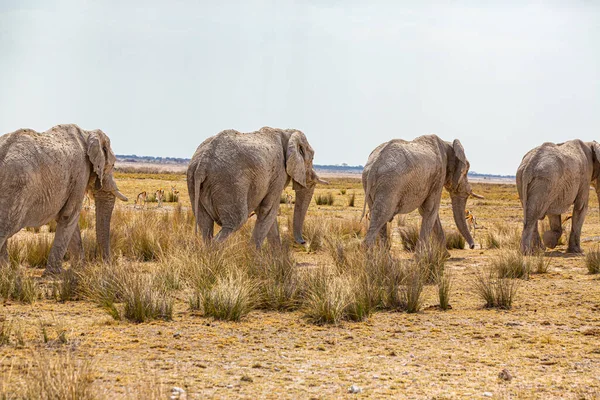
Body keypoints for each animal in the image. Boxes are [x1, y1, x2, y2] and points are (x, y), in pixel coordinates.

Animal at [0, 123, 127, 274]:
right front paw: (55, 274)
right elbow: (69, 215)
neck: (88, 133)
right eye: (112, 165)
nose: (106, 265)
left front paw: (79, 270)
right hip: (15, 187)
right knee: (6, 227)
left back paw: (8, 274)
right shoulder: (81, 172)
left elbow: (69, 220)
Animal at [189, 126, 326, 248]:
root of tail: (204, 161)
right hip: (229, 182)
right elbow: (267, 210)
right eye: (312, 157)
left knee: (204, 223)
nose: (303, 242)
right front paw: (255, 255)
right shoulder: (278, 174)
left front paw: (276, 256)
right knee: (235, 222)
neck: (288, 133)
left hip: (194, 179)